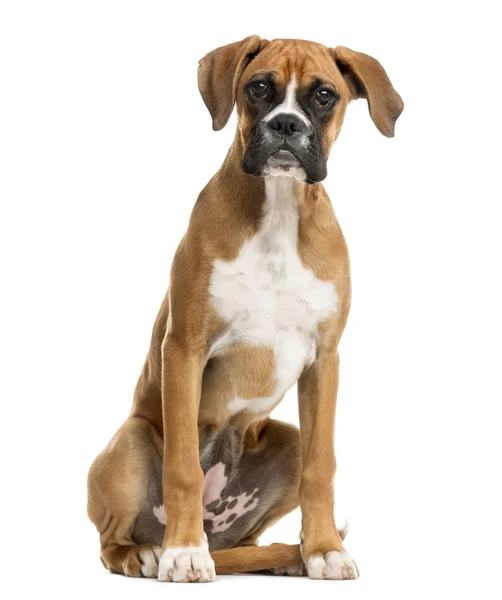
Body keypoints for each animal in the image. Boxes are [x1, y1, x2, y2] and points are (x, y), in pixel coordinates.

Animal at [87, 34, 404, 580]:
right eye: (258, 88)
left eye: (324, 96)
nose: (286, 125)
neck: (278, 209)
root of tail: (219, 539)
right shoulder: (184, 348)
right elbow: (183, 469)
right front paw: (183, 554)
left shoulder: (325, 360)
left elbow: (322, 467)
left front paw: (324, 549)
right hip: (131, 440)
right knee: (112, 541)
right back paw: (151, 552)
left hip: (287, 444)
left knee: (251, 537)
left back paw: (284, 558)